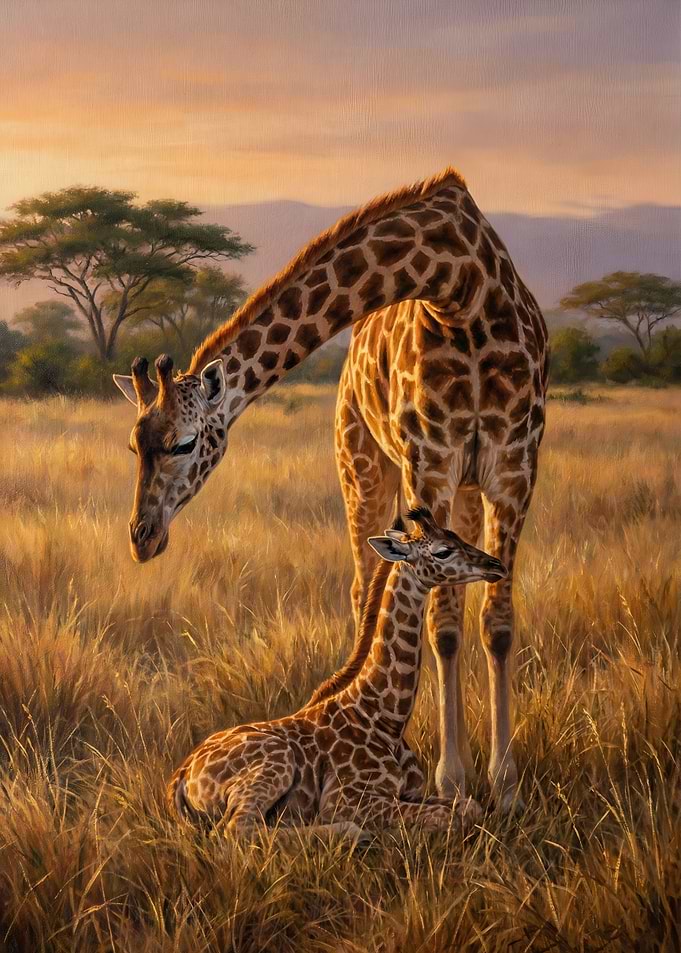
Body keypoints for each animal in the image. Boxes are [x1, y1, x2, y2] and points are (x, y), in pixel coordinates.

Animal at [167, 507, 508, 837]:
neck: (385, 717)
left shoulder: (411, 791)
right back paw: (351, 833)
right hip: (276, 762)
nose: (497, 565)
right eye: (443, 551)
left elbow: (470, 806)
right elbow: (449, 816)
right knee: (237, 829)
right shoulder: (349, 800)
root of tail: (180, 776)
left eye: (456, 536)